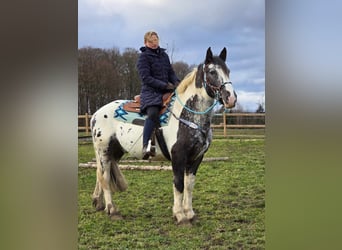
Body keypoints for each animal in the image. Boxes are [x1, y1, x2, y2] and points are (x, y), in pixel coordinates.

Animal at [89, 47, 236, 225]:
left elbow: (189, 185)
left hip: (115, 152)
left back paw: (98, 203)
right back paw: (112, 209)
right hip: (103, 150)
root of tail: (96, 114)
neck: (187, 115)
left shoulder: (197, 157)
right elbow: (179, 184)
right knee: (104, 177)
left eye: (228, 71)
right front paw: (180, 216)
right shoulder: (178, 156)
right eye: (212, 71)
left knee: (102, 174)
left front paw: (189, 213)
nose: (231, 98)